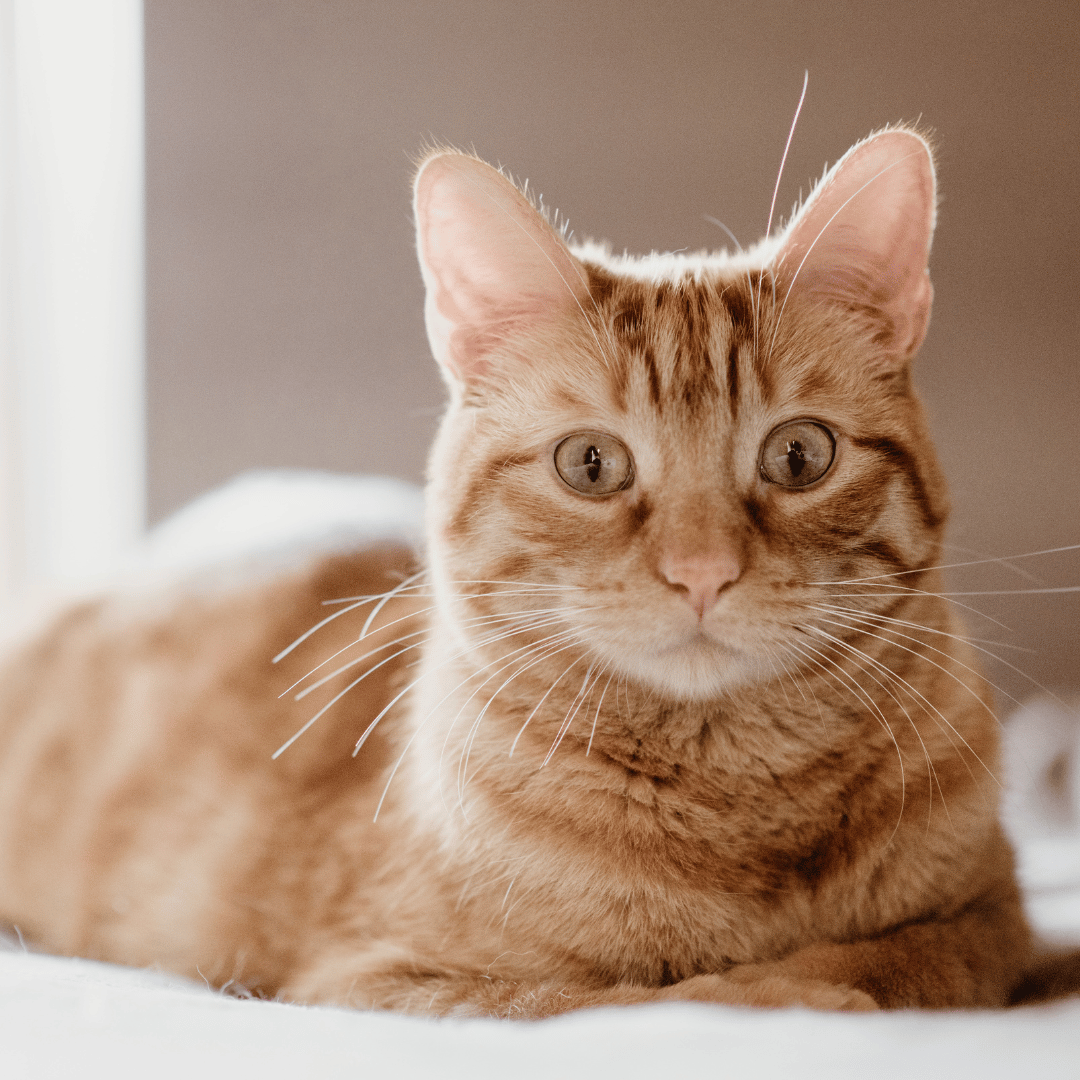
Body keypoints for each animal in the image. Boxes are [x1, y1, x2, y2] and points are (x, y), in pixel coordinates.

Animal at [0, 128, 1041, 1010]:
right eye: (590, 465)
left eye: (799, 456)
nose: (701, 572)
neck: (737, 801)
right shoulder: (388, 982)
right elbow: (647, 997)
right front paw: (784, 986)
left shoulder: (1001, 918)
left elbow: (923, 953)